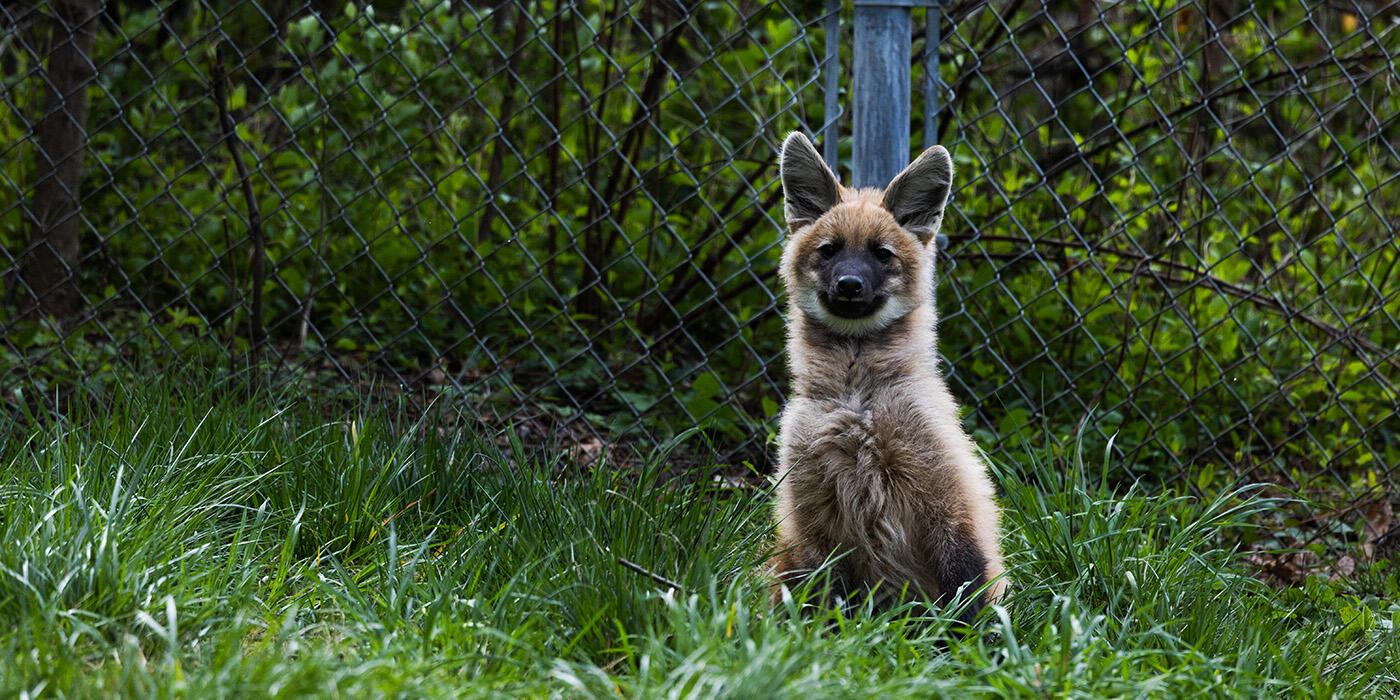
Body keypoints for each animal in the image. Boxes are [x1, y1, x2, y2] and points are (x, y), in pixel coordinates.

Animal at [768, 132, 1005, 625]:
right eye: (830, 250)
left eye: (881, 254)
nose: (849, 284)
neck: (857, 401)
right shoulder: (813, 516)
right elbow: (826, 601)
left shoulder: (947, 499)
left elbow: (966, 585)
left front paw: (973, 642)